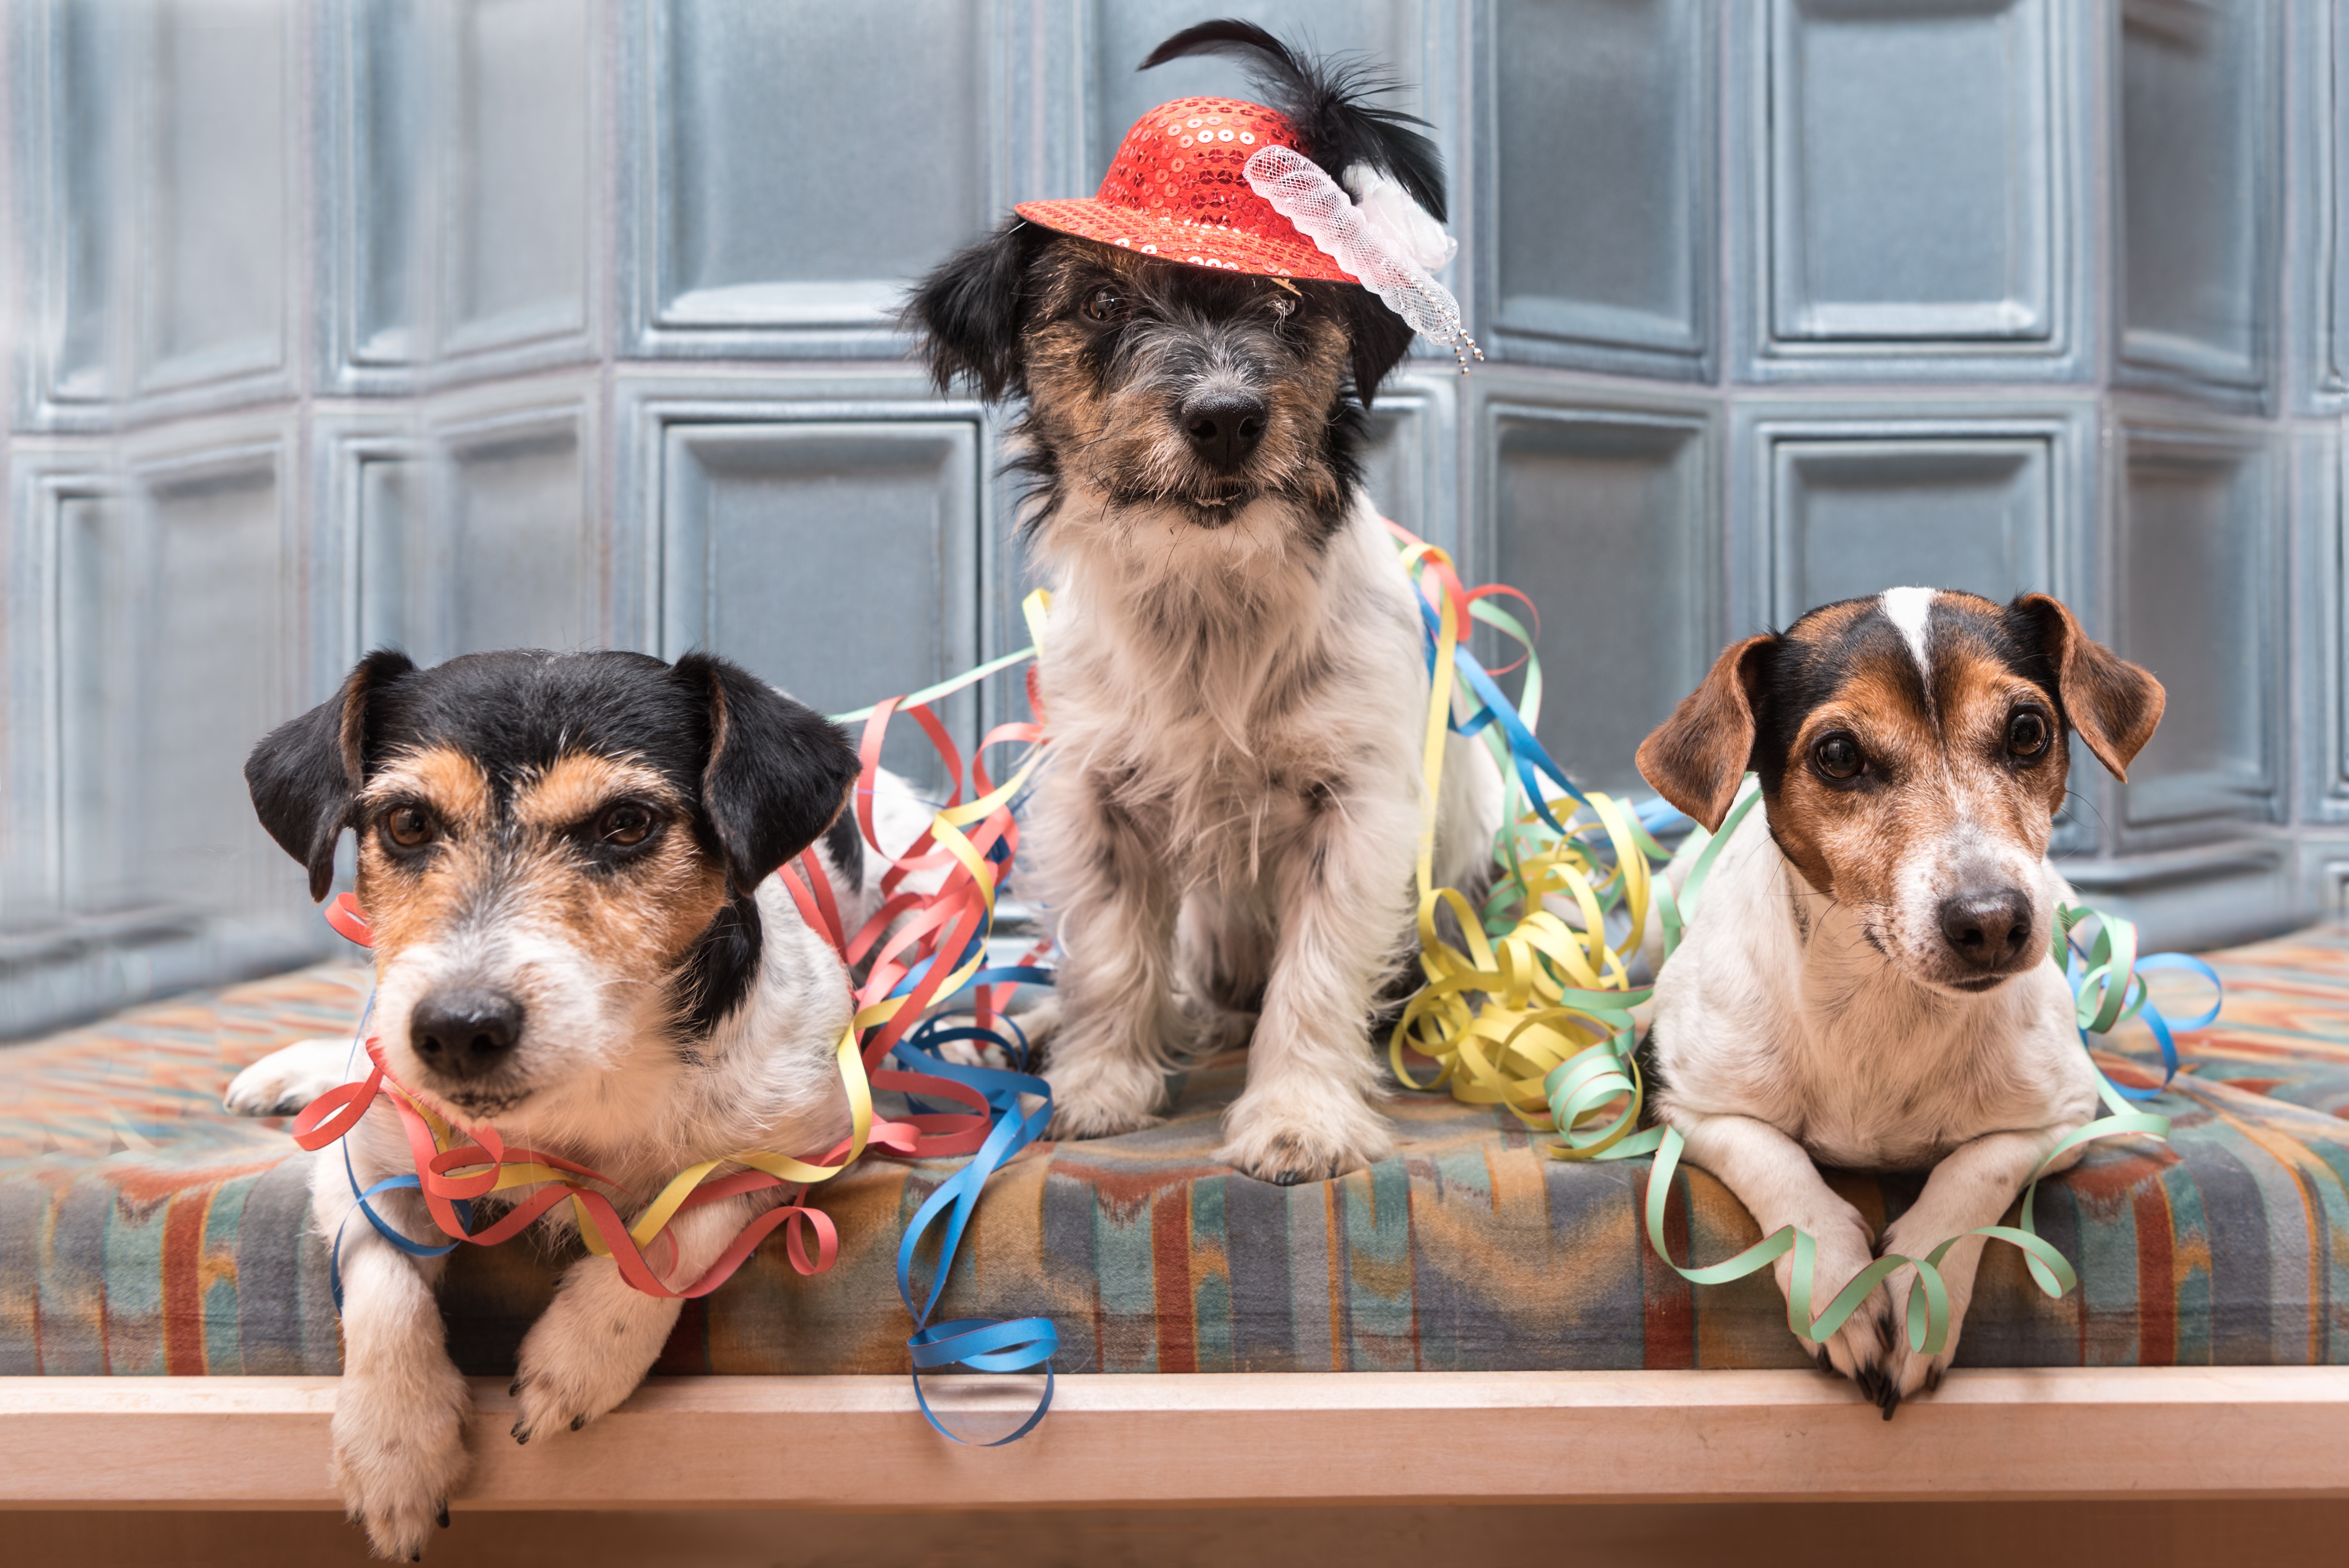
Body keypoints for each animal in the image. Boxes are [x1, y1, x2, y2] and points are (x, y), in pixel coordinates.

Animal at [222, 649, 925, 1561]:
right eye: (407, 823)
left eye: (627, 823)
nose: (457, 1029)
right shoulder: (370, 1162)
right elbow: (384, 1283)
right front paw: (395, 1442)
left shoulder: (813, 1135)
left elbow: (685, 1226)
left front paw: (582, 1355)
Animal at [906, 18, 1494, 1185]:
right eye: (1101, 304)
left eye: (1287, 305)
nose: (1226, 417)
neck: (1209, 596)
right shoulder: (1097, 798)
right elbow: (1112, 957)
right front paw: (1097, 1083)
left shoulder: (1356, 813)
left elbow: (1316, 975)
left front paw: (1299, 1115)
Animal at [1635, 588, 2161, 1410]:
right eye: (1838, 755)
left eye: (2027, 731)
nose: (1991, 921)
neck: (1884, 997)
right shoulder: (1685, 1100)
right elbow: (1779, 1164)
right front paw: (1837, 1286)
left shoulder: (2064, 1117)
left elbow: (1971, 1174)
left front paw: (1917, 1290)